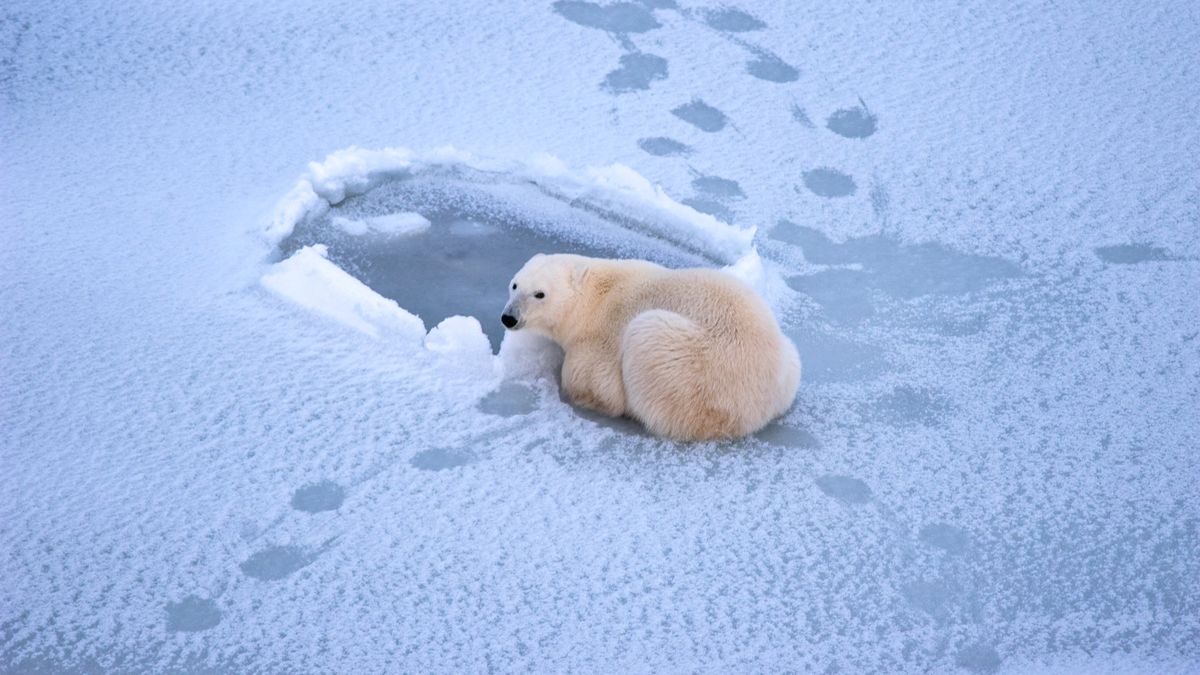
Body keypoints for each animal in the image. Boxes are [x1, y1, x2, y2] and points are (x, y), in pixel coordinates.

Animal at [501, 253, 801, 441]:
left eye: (540, 294)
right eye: (514, 284)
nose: (509, 317)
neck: (594, 296)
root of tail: (760, 405)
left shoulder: (601, 335)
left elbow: (596, 386)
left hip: (693, 368)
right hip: (788, 357)